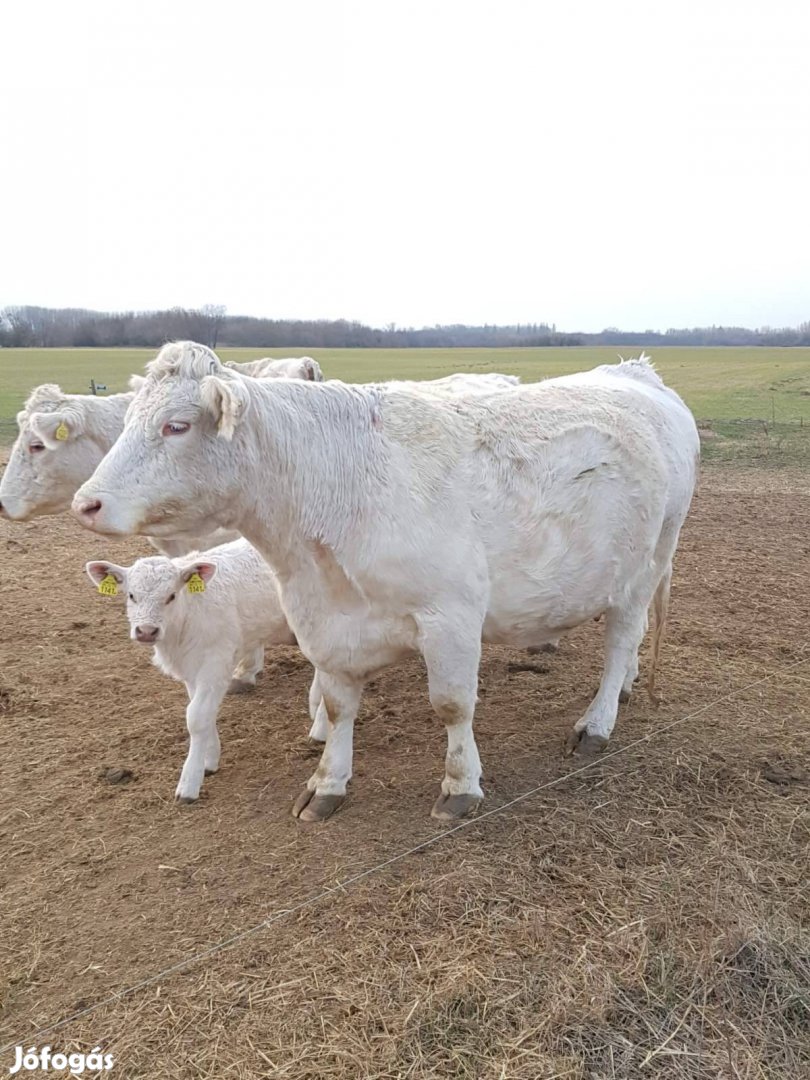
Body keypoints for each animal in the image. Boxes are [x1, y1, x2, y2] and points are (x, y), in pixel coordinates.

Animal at [84, 540, 298, 803]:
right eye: (131, 595)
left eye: (171, 596)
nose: (146, 631)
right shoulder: (192, 669)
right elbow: (202, 711)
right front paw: (209, 760)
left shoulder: (216, 662)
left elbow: (196, 717)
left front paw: (189, 782)